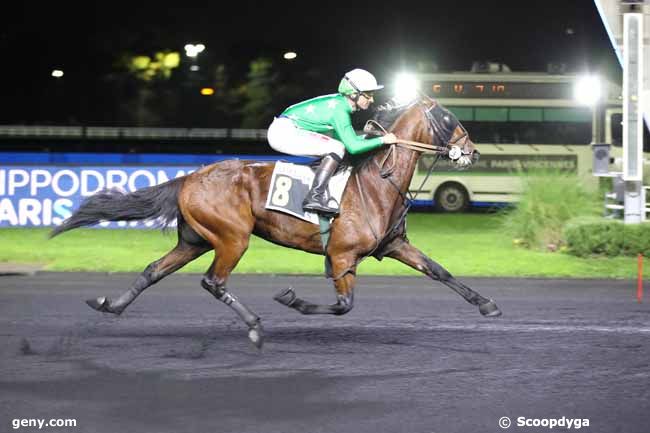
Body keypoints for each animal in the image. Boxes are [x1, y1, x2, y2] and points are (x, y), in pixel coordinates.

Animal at [52, 97, 502, 348]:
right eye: (449, 118)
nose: (473, 151)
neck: (378, 181)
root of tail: (191, 176)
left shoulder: (393, 246)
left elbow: (440, 272)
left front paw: (488, 304)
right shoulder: (342, 256)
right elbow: (343, 305)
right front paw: (291, 299)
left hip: (194, 240)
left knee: (152, 270)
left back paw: (110, 304)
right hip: (232, 238)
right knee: (213, 281)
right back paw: (254, 327)